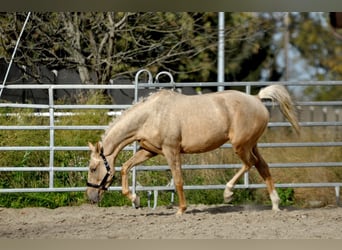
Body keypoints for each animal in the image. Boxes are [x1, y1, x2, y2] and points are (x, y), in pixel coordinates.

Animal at [86, 85, 300, 214]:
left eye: (93, 168)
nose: (90, 198)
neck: (151, 115)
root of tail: (256, 99)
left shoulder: (171, 150)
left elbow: (178, 180)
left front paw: (181, 209)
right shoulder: (149, 150)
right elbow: (125, 167)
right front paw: (135, 199)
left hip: (240, 146)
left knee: (250, 164)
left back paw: (228, 193)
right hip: (251, 145)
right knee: (263, 167)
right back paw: (275, 205)